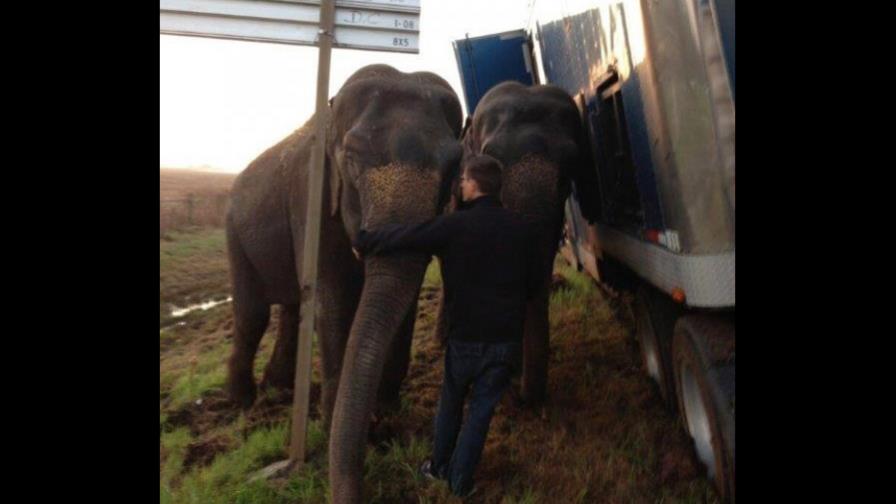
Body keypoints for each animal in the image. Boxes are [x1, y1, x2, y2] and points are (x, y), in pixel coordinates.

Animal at [224, 64, 463, 502]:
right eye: (350, 160)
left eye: (454, 166)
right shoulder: (311, 194)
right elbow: (331, 299)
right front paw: (335, 425)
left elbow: (401, 298)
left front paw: (385, 419)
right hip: (234, 231)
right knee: (253, 314)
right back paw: (245, 403)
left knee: (290, 308)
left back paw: (277, 391)